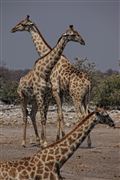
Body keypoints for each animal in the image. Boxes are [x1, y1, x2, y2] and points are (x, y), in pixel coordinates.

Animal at [11, 15, 92, 147]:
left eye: (22, 24)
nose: (13, 29)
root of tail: (89, 83)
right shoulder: (58, 92)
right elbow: (57, 114)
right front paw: (57, 138)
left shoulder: (54, 90)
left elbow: (57, 115)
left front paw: (58, 138)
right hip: (86, 98)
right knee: (86, 114)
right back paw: (88, 142)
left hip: (76, 96)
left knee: (81, 115)